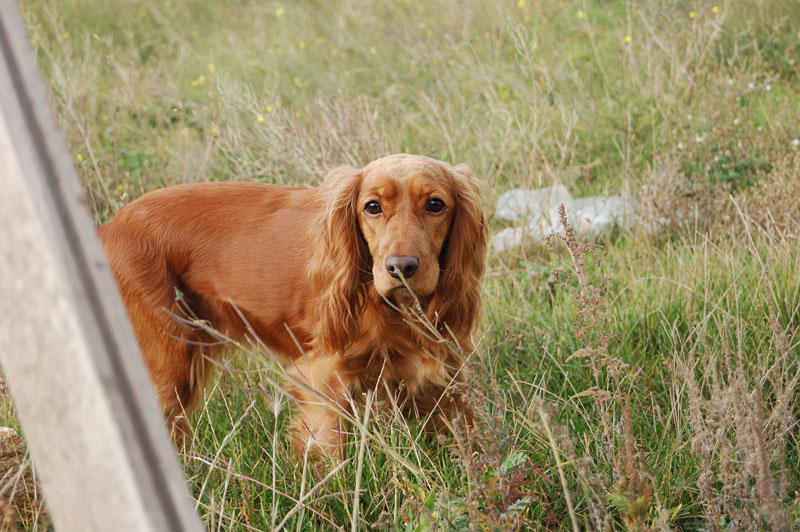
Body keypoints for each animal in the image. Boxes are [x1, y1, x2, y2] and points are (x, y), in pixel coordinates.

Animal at [100, 153, 488, 454]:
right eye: (372, 207)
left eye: (435, 204)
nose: (401, 268)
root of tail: (108, 228)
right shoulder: (323, 379)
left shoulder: (445, 369)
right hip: (169, 364)